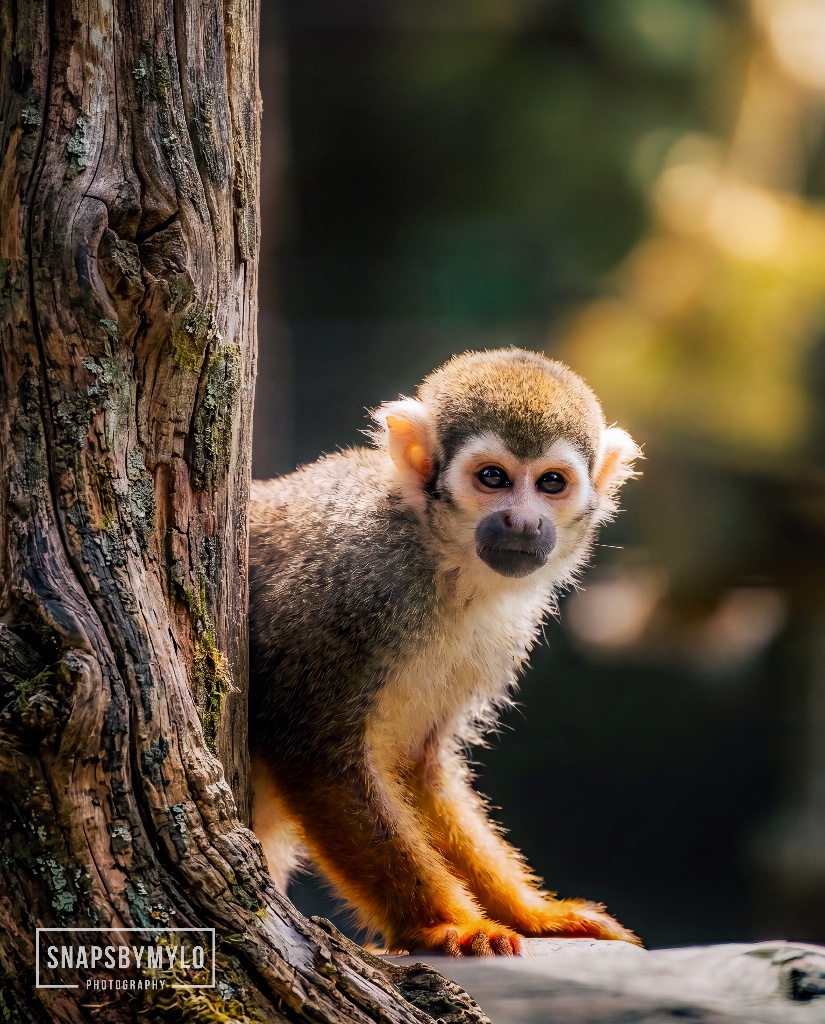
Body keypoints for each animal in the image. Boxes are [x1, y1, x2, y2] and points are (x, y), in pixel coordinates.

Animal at [248, 348, 641, 956]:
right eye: (492, 477)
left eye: (551, 483)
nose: (524, 522)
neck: (440, 559)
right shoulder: (349, 584)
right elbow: (312, 752)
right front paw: (444, 924)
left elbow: (416, 765)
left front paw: (531, 913)